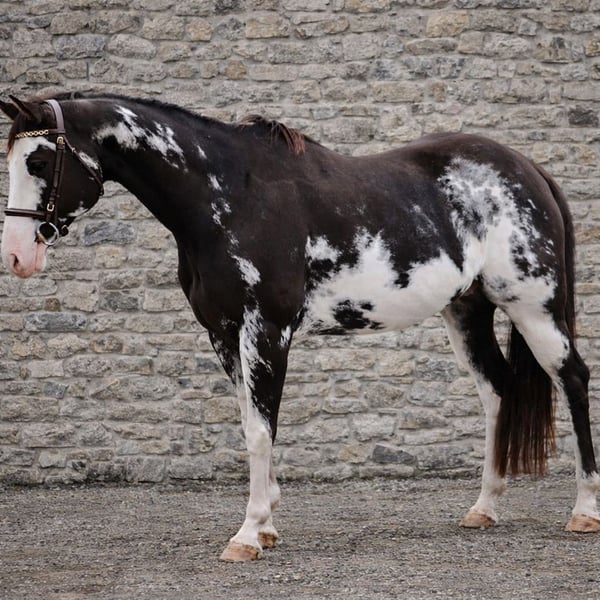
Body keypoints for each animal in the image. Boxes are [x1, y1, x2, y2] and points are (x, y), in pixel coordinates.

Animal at [1, 93, 598, 562]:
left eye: (40, 159)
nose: (17, 258)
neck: (229, 196)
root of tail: (527, 169)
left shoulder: (268, 330)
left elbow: (262, 430)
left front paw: (247, 534)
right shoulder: (223, 333)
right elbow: (250, 423)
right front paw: (265, 525)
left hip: (534, 306)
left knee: (571, 378)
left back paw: (584, 510)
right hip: (468, 311)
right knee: (498, 390)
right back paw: (484, 508)